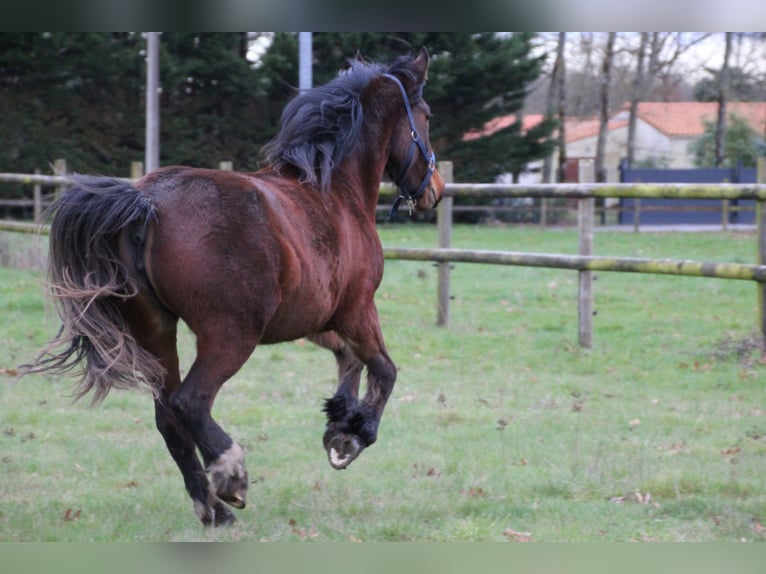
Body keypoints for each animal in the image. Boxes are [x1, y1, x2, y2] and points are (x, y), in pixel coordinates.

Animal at [21, 47, 444, 526]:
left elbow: (349, 360)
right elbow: (385, 369)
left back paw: (213, 510)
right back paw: (232, 477)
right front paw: (354, 435)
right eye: (427, 116)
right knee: (190, 402)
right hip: (230, 335)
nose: (435, 189)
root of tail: (146, 202)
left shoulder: (315, 320)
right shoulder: (357, 309)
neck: (334, 192)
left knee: (168, 418)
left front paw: (339, 420)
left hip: (156, 331)